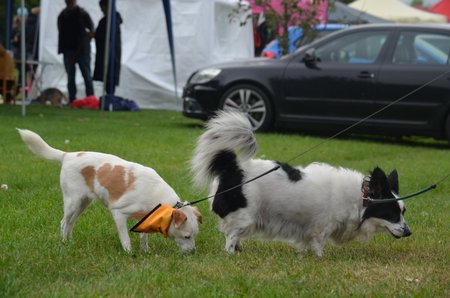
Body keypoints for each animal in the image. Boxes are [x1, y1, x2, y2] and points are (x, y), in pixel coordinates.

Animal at [17, 129, 200, 253]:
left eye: (194, 235)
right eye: (187, 236)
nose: (192, 252)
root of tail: (67, 155)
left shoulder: (144, 217)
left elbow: (143, 237)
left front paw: (146, 251)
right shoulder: (119, 213)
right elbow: (125, 238)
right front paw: (129, 253)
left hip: (83, 204)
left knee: (70, 223)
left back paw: (69, 243)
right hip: (72, 202)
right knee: (64, 222)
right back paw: (63, 243)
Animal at [191, 112, 412, 256]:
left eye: (403, 212)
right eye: (392, 214)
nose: (409, 232)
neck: (361, 198)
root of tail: (233, 167)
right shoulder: (322, 226)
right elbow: (319, 245)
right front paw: (319, 258)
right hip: (244, 216)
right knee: (232, 235)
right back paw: (231, 253)